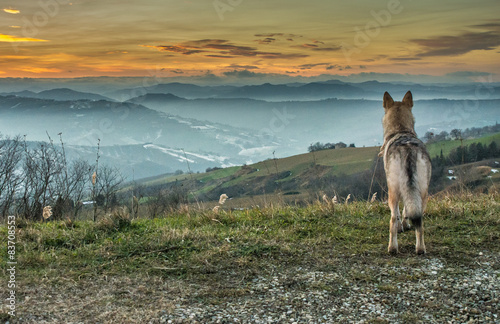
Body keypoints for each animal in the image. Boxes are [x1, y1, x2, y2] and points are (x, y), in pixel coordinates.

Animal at [380, 91, 432, 256]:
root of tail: (408, 150)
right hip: (423, 193)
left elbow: (397, 214)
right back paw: (420, 249)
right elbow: (407, 210)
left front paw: (401, 227)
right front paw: (406, 224)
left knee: (391, 220)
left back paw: (392, 248)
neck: (401, 131)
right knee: (420, 222)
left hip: (392, 192)